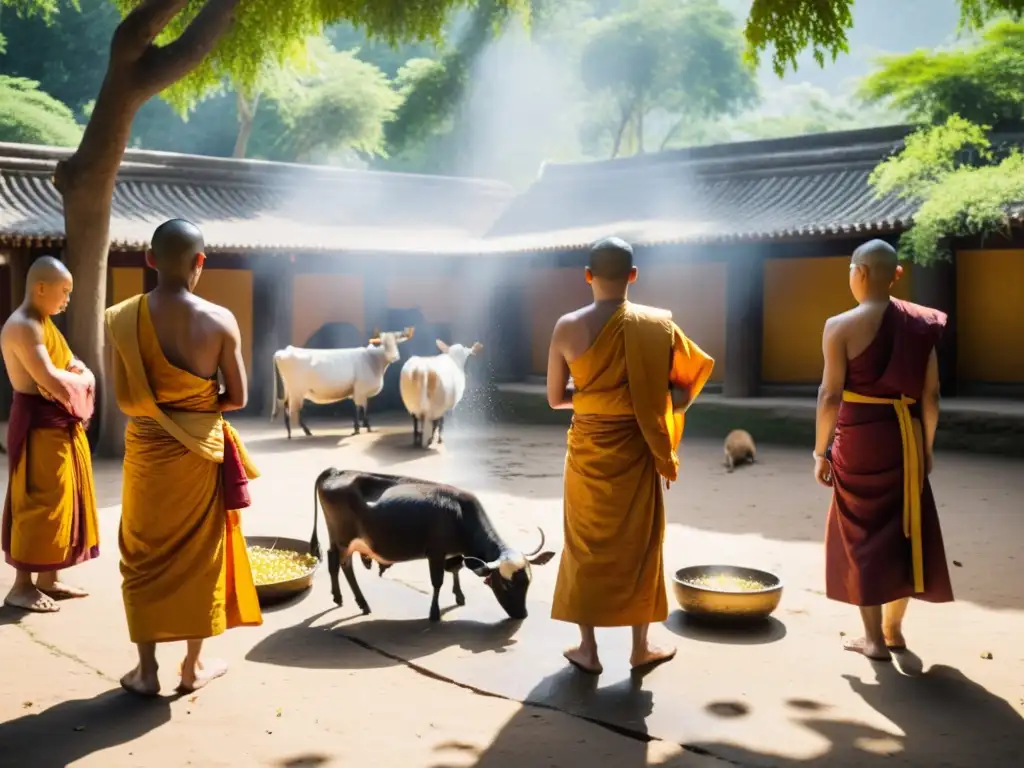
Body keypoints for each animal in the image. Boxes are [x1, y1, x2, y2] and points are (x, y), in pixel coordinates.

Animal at [276, 329, 415, 442]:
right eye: (383, 343)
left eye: (397, 342)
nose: (394, 357)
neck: (373, 359)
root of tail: (285, 351)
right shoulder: (360, 389)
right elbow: (359, 408)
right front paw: (360, 428)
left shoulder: (360, 391)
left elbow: (362, 408)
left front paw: (363, 426)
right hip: (296, 391)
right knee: (293, 411)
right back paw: (305, 431)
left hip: (290, 391)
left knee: (287, 409)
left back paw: (290, 433)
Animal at [309, 468, 557, 626]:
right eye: (506, 584)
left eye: (528, 581)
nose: (522, 615)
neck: (461, 515)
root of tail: (336, 471)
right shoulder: (436, 553)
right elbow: (437, 581)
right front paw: (434, 613)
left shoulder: (453, 553)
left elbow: (455, 570)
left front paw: (459, 596)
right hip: (342, 539)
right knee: (339, 563)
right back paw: (352, 601)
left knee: (338, 563)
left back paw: (350, 600)